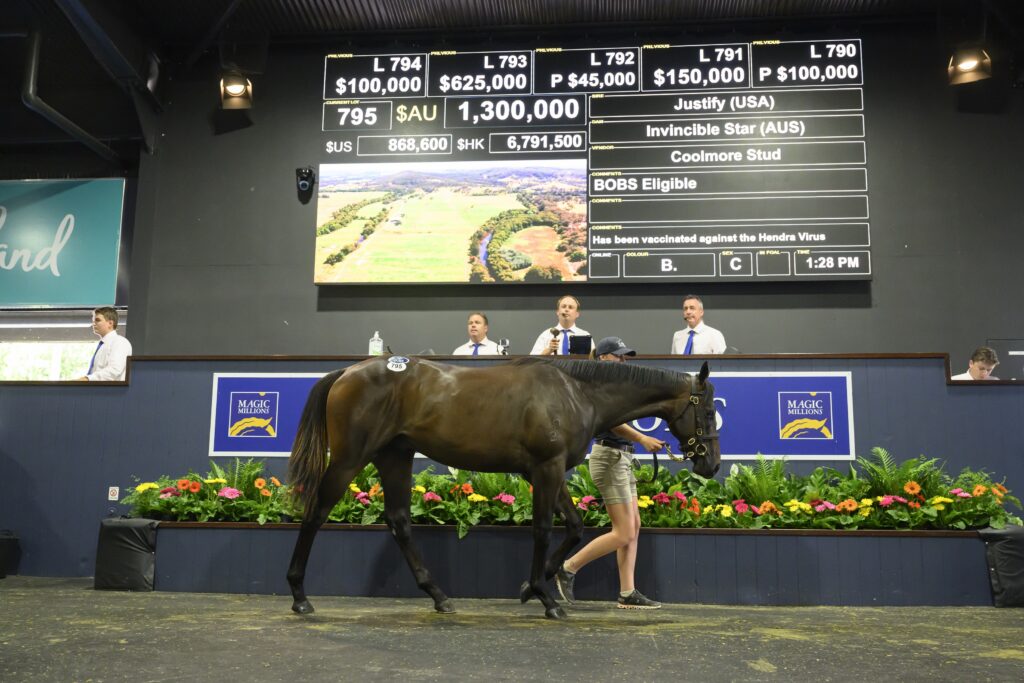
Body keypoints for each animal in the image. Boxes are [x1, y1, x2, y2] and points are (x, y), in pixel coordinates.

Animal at [286, 355, 721, 619]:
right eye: (707, 410)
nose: (712, 464)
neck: (575, 392)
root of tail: (346, 373)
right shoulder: (546, 469)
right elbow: (543, 530)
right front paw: (546, 598)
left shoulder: (545, 472)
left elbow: (575, 526)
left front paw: (533, 586)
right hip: (350, 459)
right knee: (316, 512)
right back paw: (300, 597)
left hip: (395, 456)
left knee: (399, 521)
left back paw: (439, 596)